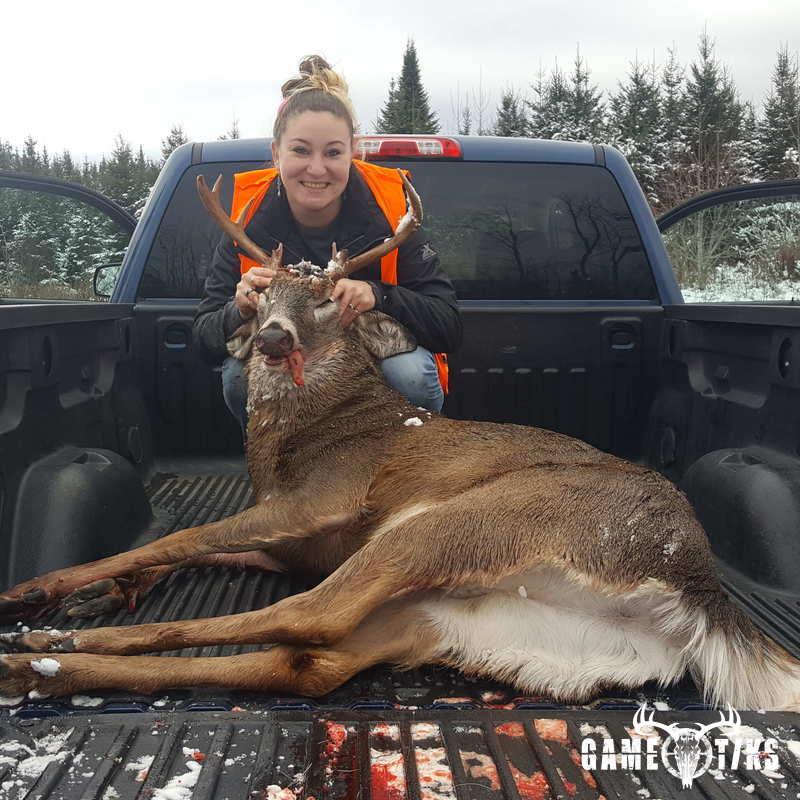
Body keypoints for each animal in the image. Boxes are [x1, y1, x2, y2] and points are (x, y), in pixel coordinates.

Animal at [1, 170, 799, 711]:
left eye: (327, 299)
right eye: (260, 294)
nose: (272, 337)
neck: (291, 445)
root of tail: (697, 588)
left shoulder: (321, 500)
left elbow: (176, 539)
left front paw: (44, 589)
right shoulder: (293, 540)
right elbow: (188, 550)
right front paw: (103, 594)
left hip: (457, 523)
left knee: (305, 617)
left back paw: (38, 643)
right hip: (453, 618)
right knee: (304, 664)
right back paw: (41, 664)